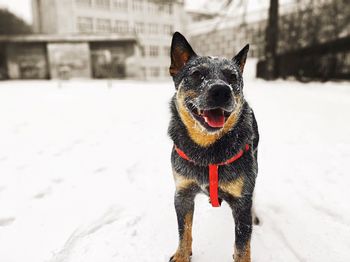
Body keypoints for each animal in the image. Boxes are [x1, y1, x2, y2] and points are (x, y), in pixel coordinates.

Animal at [168, 31, 258, 260]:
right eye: (197, 74)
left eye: (232, 76)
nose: (221, 90)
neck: (206, 151)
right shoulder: (182, 193)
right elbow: (184, 230)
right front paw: (182, 255)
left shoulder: (242, 203)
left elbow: (242, 246)